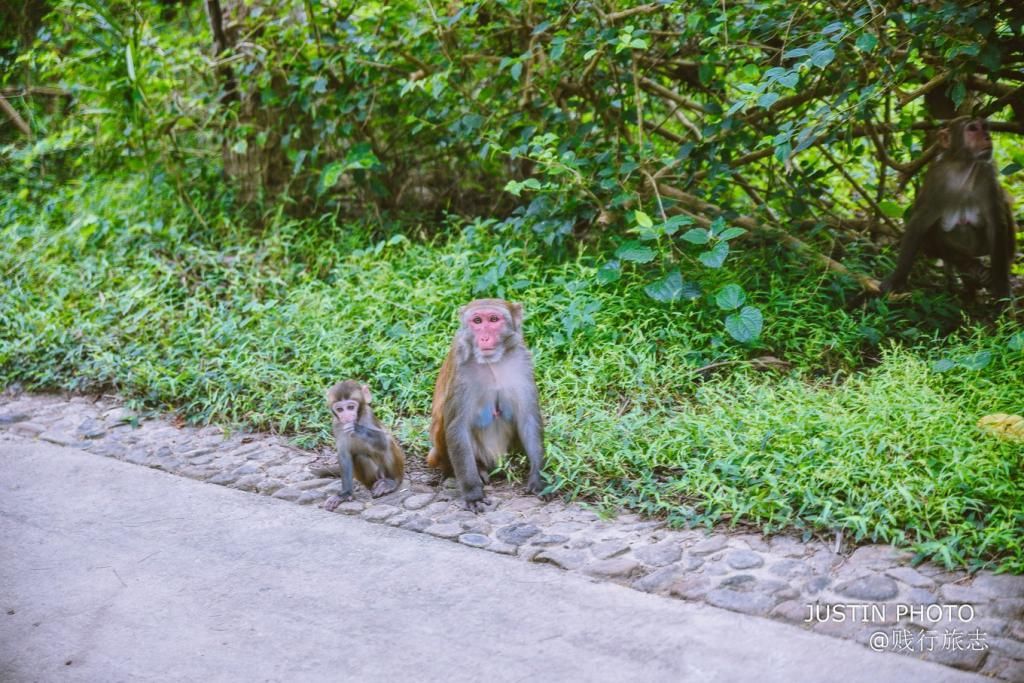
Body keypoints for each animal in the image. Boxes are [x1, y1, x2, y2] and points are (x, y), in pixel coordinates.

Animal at [323, 378, 403, 511]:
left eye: (350, 407)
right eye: (340, 409)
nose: (346, 416)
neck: (358, 419)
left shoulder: (368, 415)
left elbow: (384, 440)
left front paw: (357, 429)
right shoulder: (337, 425)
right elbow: (344, 455)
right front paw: (345, 494)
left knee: (388, 443)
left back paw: (391, 482)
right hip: (375, 478)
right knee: (359, 457)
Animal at [428, 299, 548, 511]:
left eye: (493, 319)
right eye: (477, 321)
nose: (484, 338)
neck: (492, 363)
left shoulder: (522, 362)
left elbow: (528, 418)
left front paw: (538, 480)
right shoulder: (462, 368)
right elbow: (457, 427)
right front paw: (473, 493)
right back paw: (479, 469)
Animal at [880, 116, 1015, 303]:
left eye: (984, 127)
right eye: (972, 129)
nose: (987, 137)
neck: (962, 167)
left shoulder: (988, 175)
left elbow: (996, 224)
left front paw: (1001, 286)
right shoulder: (935, 177)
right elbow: (919, 224)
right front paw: (897, 279)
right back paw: (966, 265)